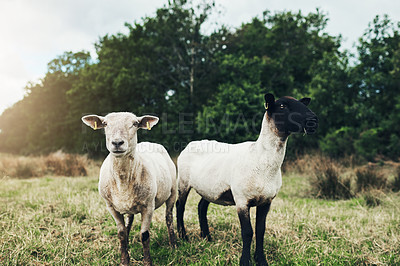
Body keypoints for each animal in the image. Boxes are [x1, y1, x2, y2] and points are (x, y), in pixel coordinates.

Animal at [82, 112, 176, 266]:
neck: (123, 180)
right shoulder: (111, 207)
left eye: (135, 124)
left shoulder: (148, 206)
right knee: (129, 221)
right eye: (105, 124)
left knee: (169, 217)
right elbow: (121, 233)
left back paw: (173, 244)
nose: (117, 143)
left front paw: (147, 262)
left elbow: (144, 235)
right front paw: (124, 260)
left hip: (173, 192)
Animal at [177, 93, 318, 264]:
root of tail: (192, 143)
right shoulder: (242, 200)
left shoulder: (266, 201)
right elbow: (247, 232)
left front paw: (261, 260)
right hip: (183, 181)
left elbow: (260, 230)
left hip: (210, 188)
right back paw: (183, 237)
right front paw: (245, 260)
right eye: (282, 106)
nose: (313, 120)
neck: (259, 157)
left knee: (201, 207)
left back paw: (207, 238)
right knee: (180, 206)